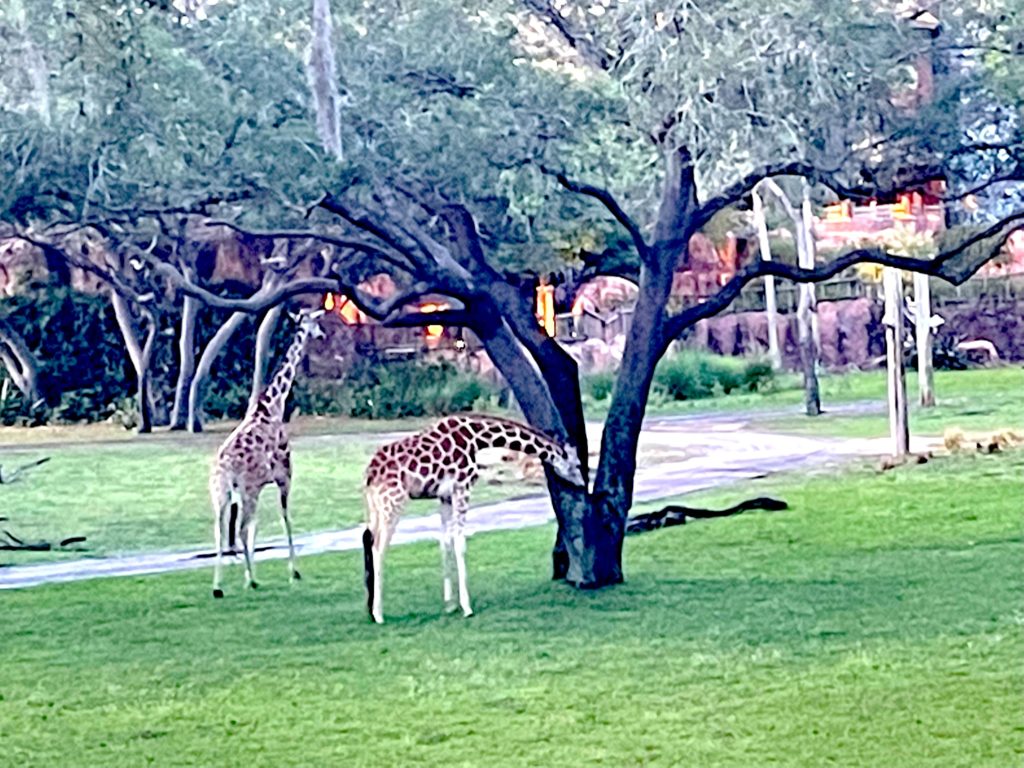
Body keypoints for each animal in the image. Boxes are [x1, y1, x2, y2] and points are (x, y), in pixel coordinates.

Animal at [205, 309, 321, 598]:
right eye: (316, 322)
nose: (321, 334)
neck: (273, 406)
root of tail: (223, 467)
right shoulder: (284, 475)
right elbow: (284, 517)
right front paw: (294, 572)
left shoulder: (257, 487)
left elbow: (255, 529)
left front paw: (250, 575)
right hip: (245, 491)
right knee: (240, 529)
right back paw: (249, 582)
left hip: (221, 493)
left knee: (220, 529)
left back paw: (217, 587)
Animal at [362, 415, 585, 626]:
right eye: (577, 464)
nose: (583, 483)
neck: (477, 438)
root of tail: (370, 473)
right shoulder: (462, 487)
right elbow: (460, 543)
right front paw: (466, 607)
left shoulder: (444, 495)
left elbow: (445, 542)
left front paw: (450, 604)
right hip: (393, 502)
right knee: (378, 548)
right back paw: (379, 614)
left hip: (375, 505)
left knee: (368, 539)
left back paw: (371, 609)